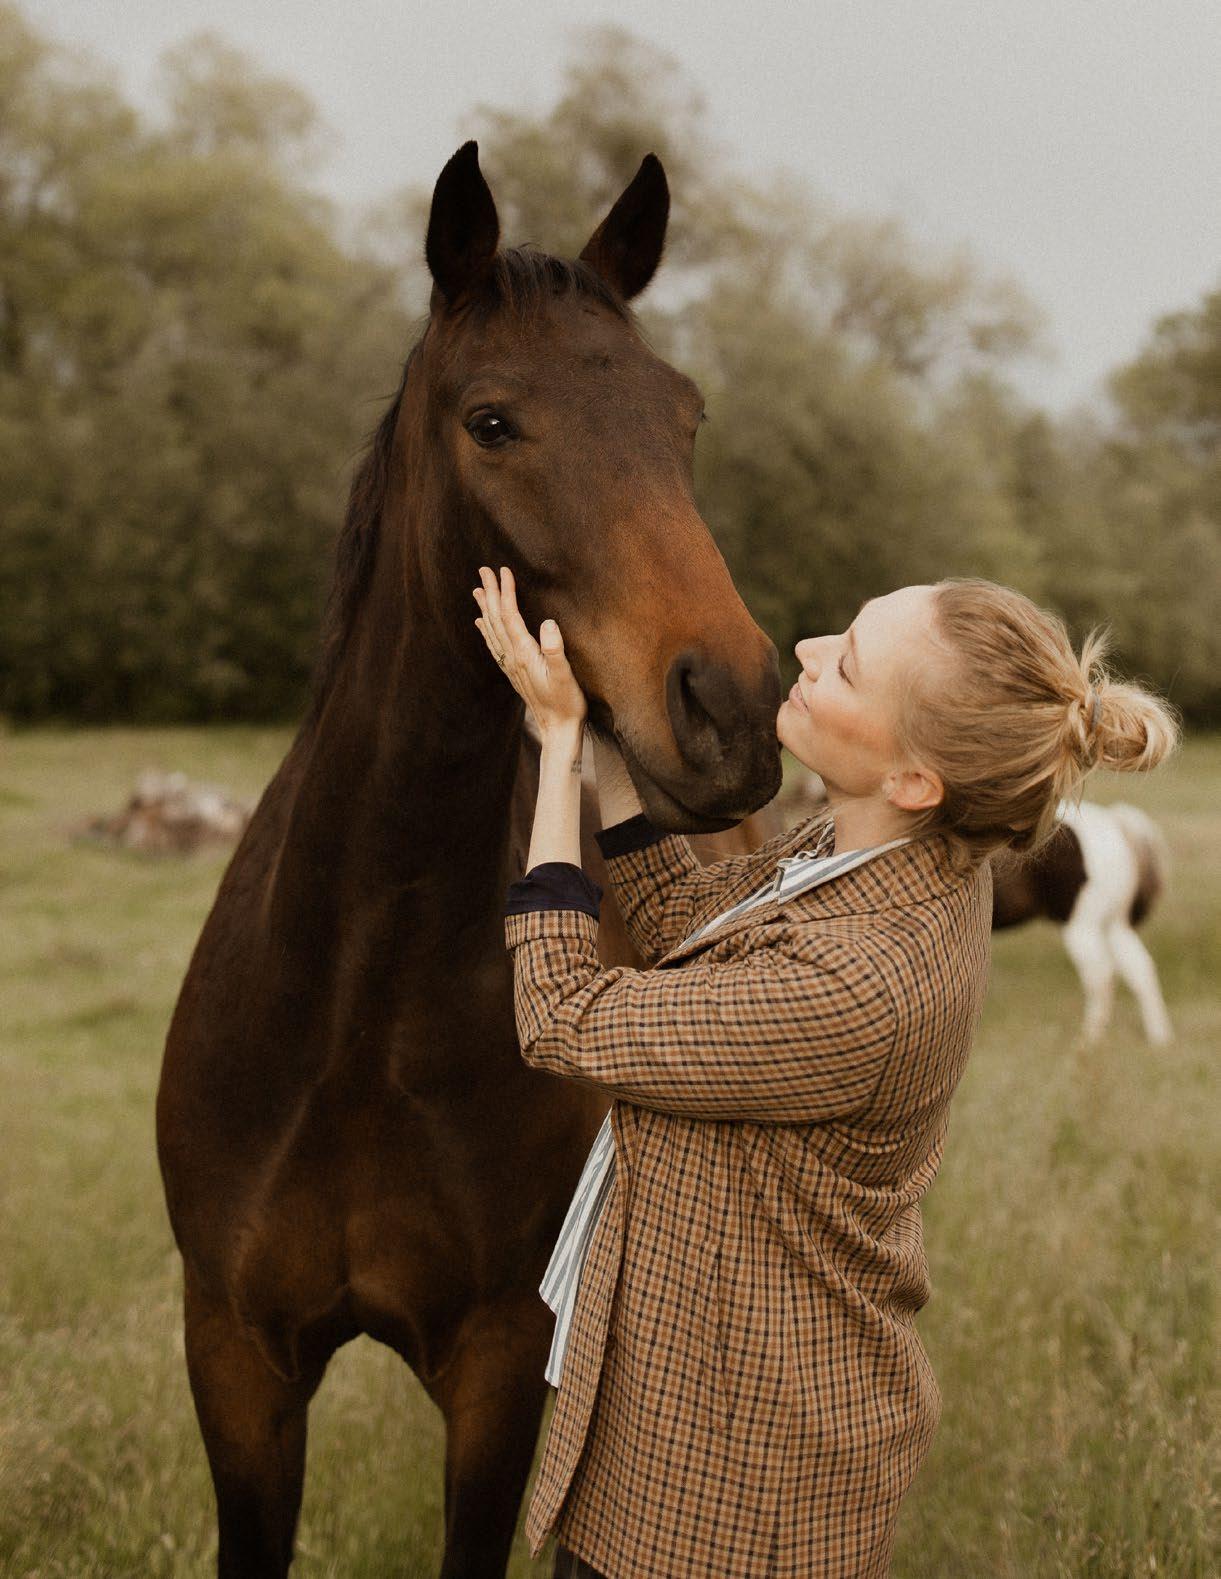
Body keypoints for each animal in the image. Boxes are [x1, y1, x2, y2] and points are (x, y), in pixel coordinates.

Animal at [991, 802, 1168, 1048]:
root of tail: (1113, 821)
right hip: (1114, 924)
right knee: (1139, 968)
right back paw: (1158, 1038)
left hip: (1083, 927)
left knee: (1101, 975)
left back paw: (1089, 1039)